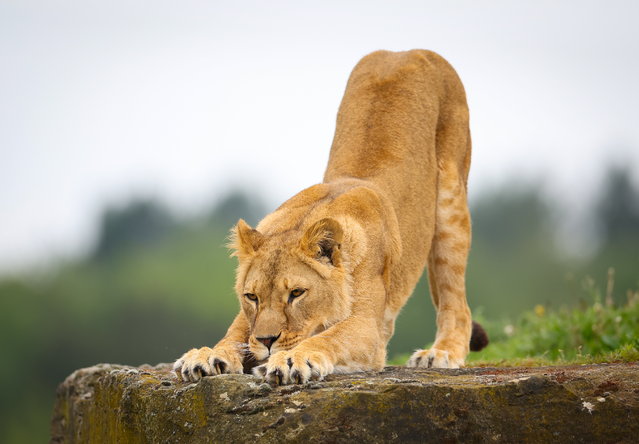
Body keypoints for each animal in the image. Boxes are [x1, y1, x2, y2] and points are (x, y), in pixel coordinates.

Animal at [172, 49, 488, 386]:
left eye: (297, 293)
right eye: (251, 297)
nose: (267, 341)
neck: (303, 221)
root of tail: (405, 51)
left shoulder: (369, 326)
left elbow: (327, 338)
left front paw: (292, 359)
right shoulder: (249, 321)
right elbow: (234, 334)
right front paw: (207, 355)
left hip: (450, 208)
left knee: (457, 303)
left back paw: (440, 353)